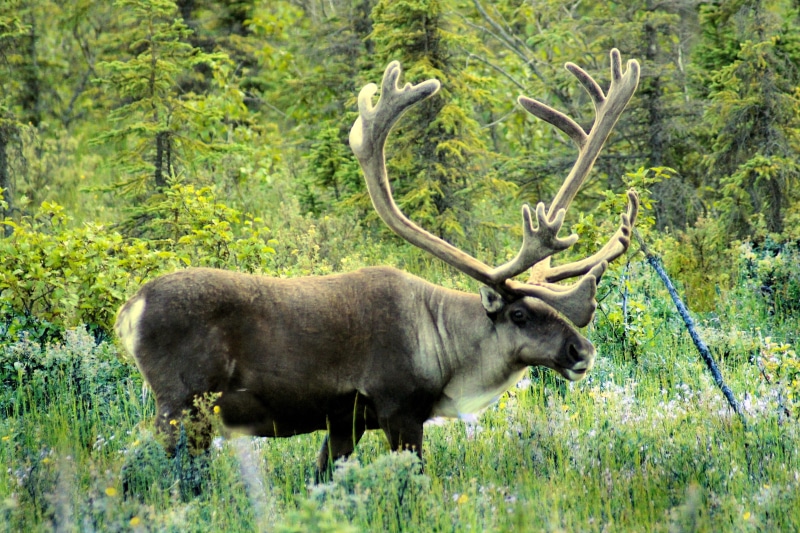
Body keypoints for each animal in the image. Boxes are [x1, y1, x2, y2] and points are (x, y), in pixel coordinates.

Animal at [115, 49, 640, 481]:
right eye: (519, 314)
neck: (443, 346)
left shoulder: (345, 420)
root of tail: (129, 310)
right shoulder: (398, 409)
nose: (581, 351)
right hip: (182, 403)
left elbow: (324, 478)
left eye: (552, 308)